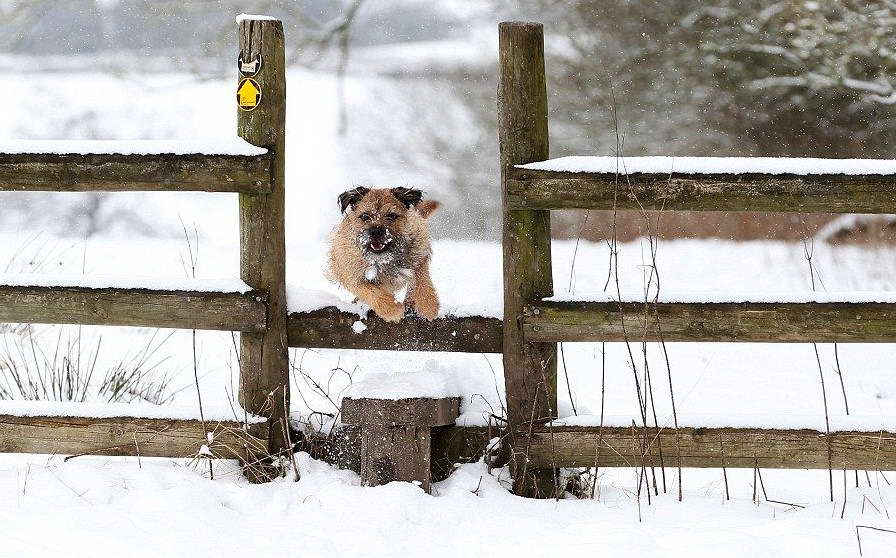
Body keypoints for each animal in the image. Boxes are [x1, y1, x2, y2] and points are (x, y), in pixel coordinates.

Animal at [328, 188, 440, 324]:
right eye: (365, 216)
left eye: (391, 216)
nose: (376, 231)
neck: (384, 260)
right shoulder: (352, 276)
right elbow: (371, 292)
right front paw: (392, 310)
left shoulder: (419, 254)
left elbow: (422, 279)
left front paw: (428, 305)